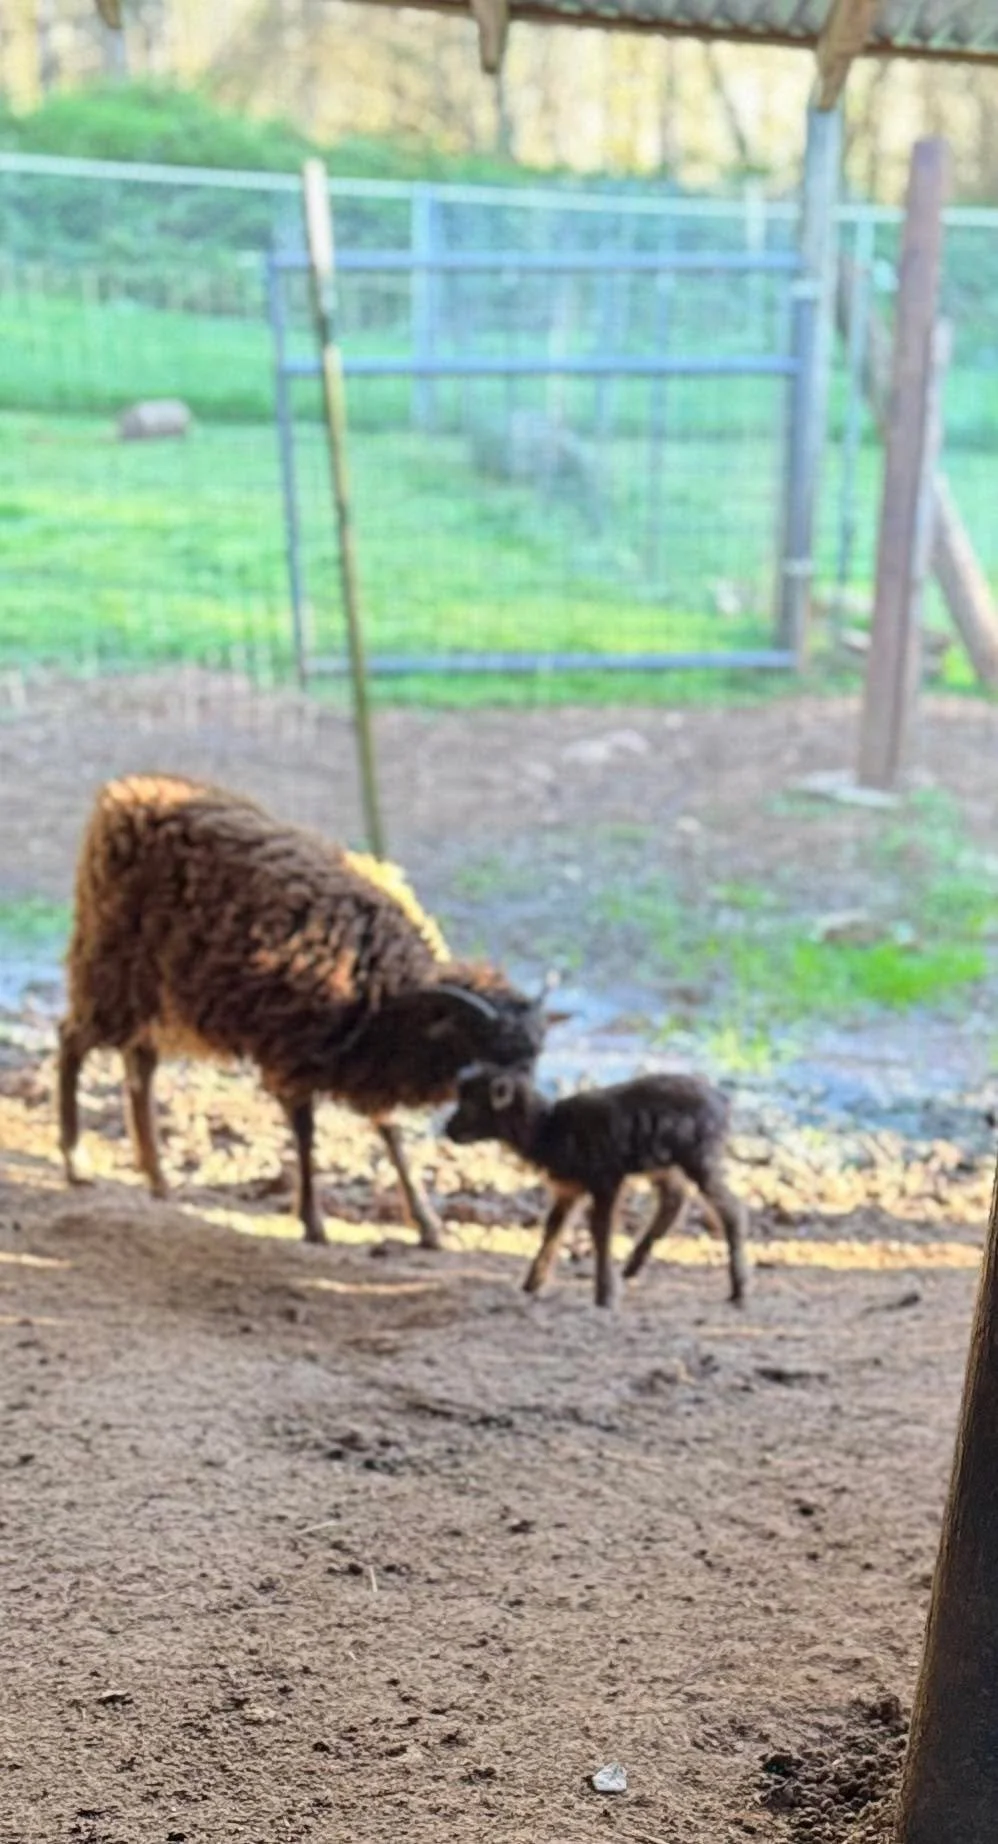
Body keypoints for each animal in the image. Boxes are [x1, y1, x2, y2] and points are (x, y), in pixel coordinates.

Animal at [57, 774, 547, 1249]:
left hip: (154, 992)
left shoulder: (365, 1065)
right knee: (73, 1040)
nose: (530, 1119)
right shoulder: (295, 1053)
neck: (385, 986)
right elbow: (307, 1133)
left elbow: (390, 1135)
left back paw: (157, 1179)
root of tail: (125, 794)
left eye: (532, 1059)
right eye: (488, 1056)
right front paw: (313, 1222)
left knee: (140, 1063)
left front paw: (428, 1226)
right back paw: (75, 1161)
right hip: (109, 967)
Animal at [444, 1066, 749, 1308]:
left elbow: (600, 1230)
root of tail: (723, 1101)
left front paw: (605, 1296)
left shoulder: (605, 1178)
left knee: (731, 1209)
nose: (448, 1130)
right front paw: (532, 1284)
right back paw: (632, 1267)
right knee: (675, 1198)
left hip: (698, 1156)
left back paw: (738, 1289)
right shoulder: (570, 1187)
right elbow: (553, 1228)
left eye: (472, 1105)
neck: (548, 1129)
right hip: (662, 1161)